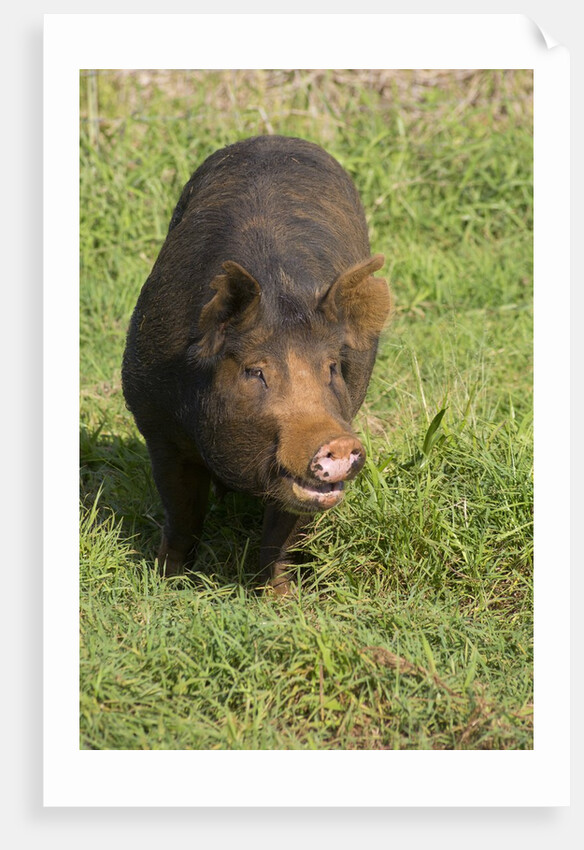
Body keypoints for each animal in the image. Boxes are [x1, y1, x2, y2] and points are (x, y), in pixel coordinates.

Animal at [122, 135, 391, 594]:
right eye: (255, 370)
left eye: (332, 368)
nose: (337, 441)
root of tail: (276, 136)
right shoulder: (156, 423)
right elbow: (181, 512)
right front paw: (165, 581)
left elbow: (283, 535)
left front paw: (279, 599)